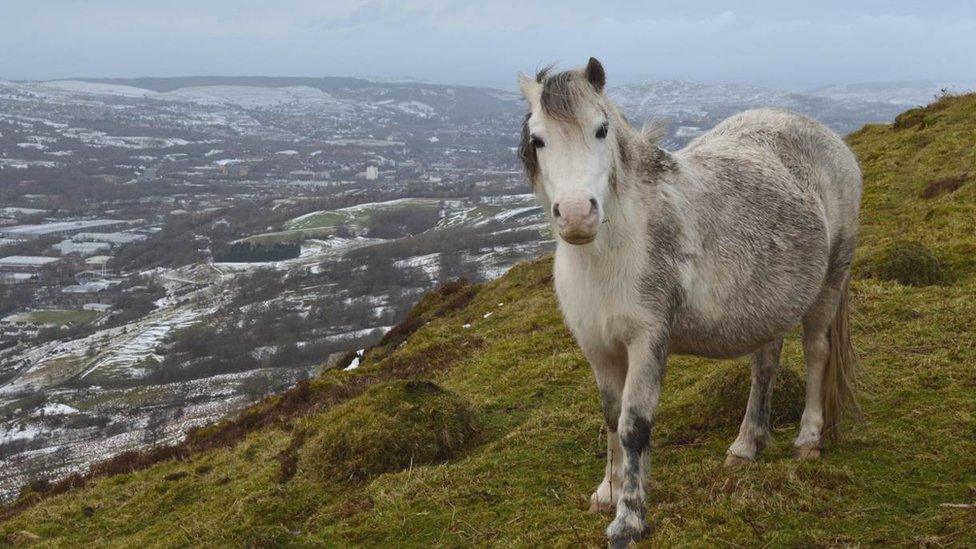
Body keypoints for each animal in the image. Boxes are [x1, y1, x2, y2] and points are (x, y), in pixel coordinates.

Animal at [516, 57, 856, 544]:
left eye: (601, 130)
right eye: (538, 139)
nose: (578, 215)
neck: (616, 248)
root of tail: (823, 133)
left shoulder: (647, 340)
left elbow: (633, 426)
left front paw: (629, 520)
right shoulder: (598, 349)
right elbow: (611, 418)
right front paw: (608, 492)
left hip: (829, 283)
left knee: (816, 354)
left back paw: (808, 439)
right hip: (767, 307)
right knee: (765, 365)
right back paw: (746, 445)